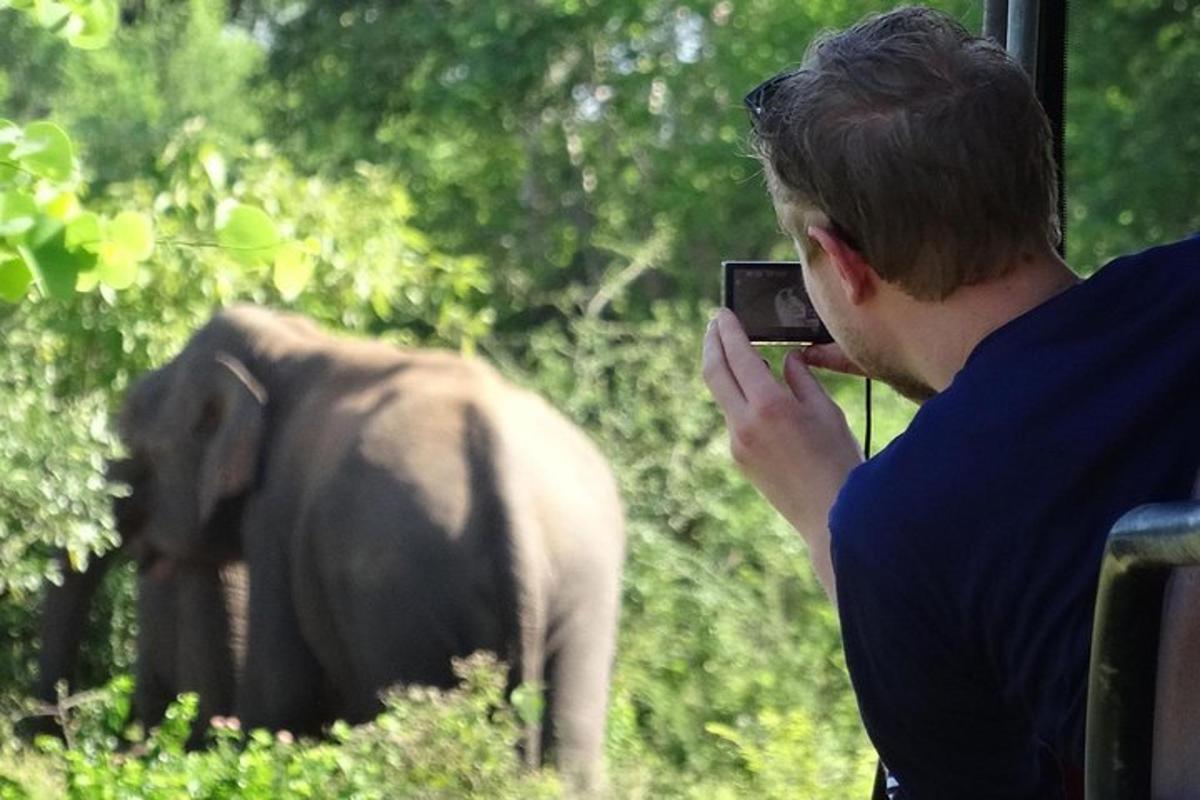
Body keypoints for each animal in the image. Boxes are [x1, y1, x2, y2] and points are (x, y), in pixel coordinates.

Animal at [114, 307, 628, 786]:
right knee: (573, 739)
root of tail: (509, 490)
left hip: (404, 597)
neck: (290, 341)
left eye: (137, 451)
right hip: (583, 588)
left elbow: (283, 694)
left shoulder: (275, 513)